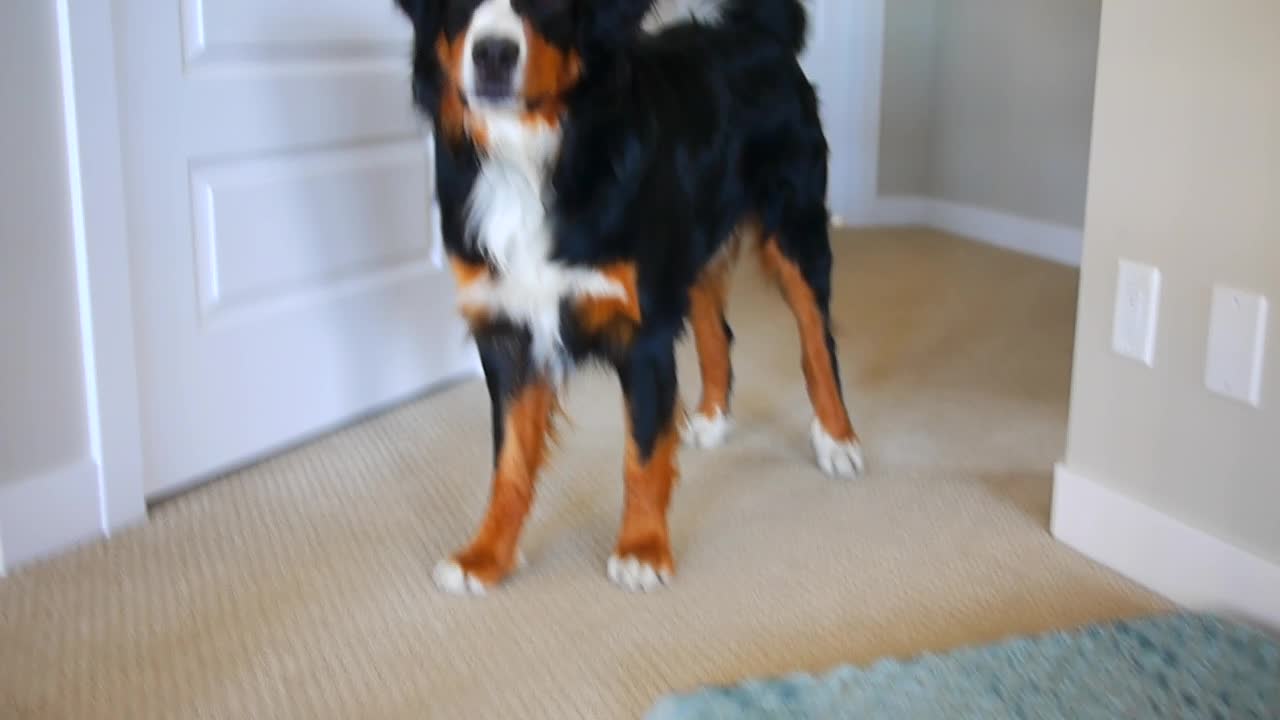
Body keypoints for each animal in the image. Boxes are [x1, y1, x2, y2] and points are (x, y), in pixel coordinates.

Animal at [394, 0, 865, 594]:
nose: (493, 54)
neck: (532, 154)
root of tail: (758, 31)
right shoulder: (509, 329)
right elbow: (511, 461)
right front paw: (486, 554)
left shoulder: (641, 328)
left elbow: (641, 451)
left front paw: (642, 548)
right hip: (692, 251)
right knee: (716, 331)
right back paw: (712, 417)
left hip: (794, 229)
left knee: (816, 340)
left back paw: (837, 438)